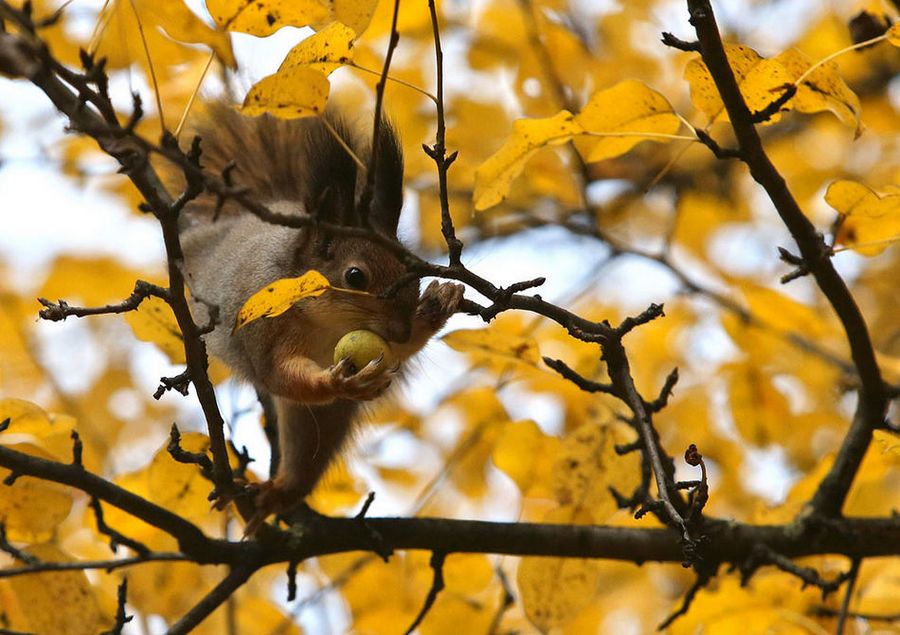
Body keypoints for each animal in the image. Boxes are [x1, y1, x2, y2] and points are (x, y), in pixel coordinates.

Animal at [180, 105, 468, 532]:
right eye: (355, 276)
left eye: (412, 269)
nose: (400, 330)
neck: (327, 325)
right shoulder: (265, 329)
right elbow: (280, 375)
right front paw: (337, 380)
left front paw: (435, 306)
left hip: (325, 423)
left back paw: (279, 493)